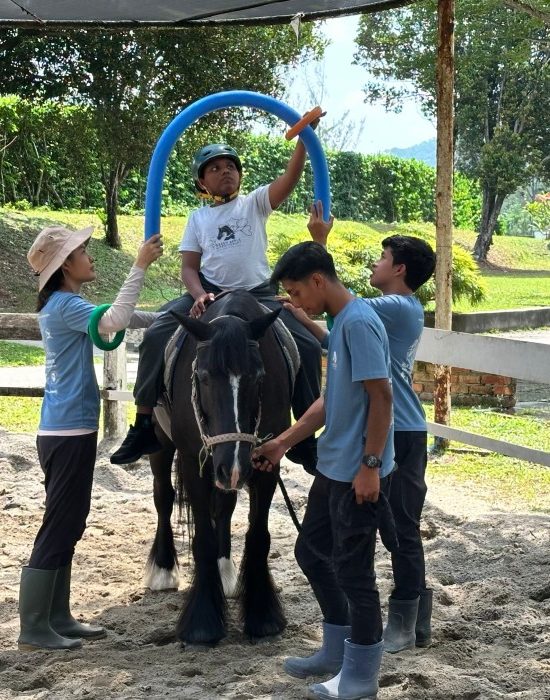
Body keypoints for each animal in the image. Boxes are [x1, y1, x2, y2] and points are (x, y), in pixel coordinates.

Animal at [144, 290, 292, 644]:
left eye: (259, 377)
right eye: (203, 377)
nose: (234, 468)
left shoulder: (266, 463)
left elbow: (258, 536)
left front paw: (263, 616)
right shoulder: (194, 461)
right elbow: (203, 540)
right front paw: (202, 623)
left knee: (223, 506)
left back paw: (224, 573)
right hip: (164, 444)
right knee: (163, 497)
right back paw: (163, 570)